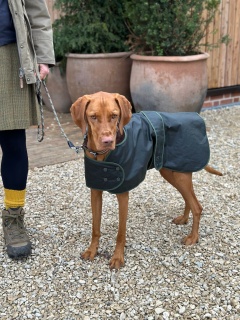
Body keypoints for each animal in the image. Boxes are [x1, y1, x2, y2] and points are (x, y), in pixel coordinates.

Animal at [70, 91, 222, 268]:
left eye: (114, 115)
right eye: (93, 117)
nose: (107, 142)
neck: (101, 156)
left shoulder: (123, 195)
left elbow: (120, 232)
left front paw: (118, 257)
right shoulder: (95, 192)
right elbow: (95, 228)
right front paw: (92, 250)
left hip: (180, 175)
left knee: (197, 206)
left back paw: (193, 237)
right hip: (173, 172)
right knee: (188, 199)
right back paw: (184, 219)